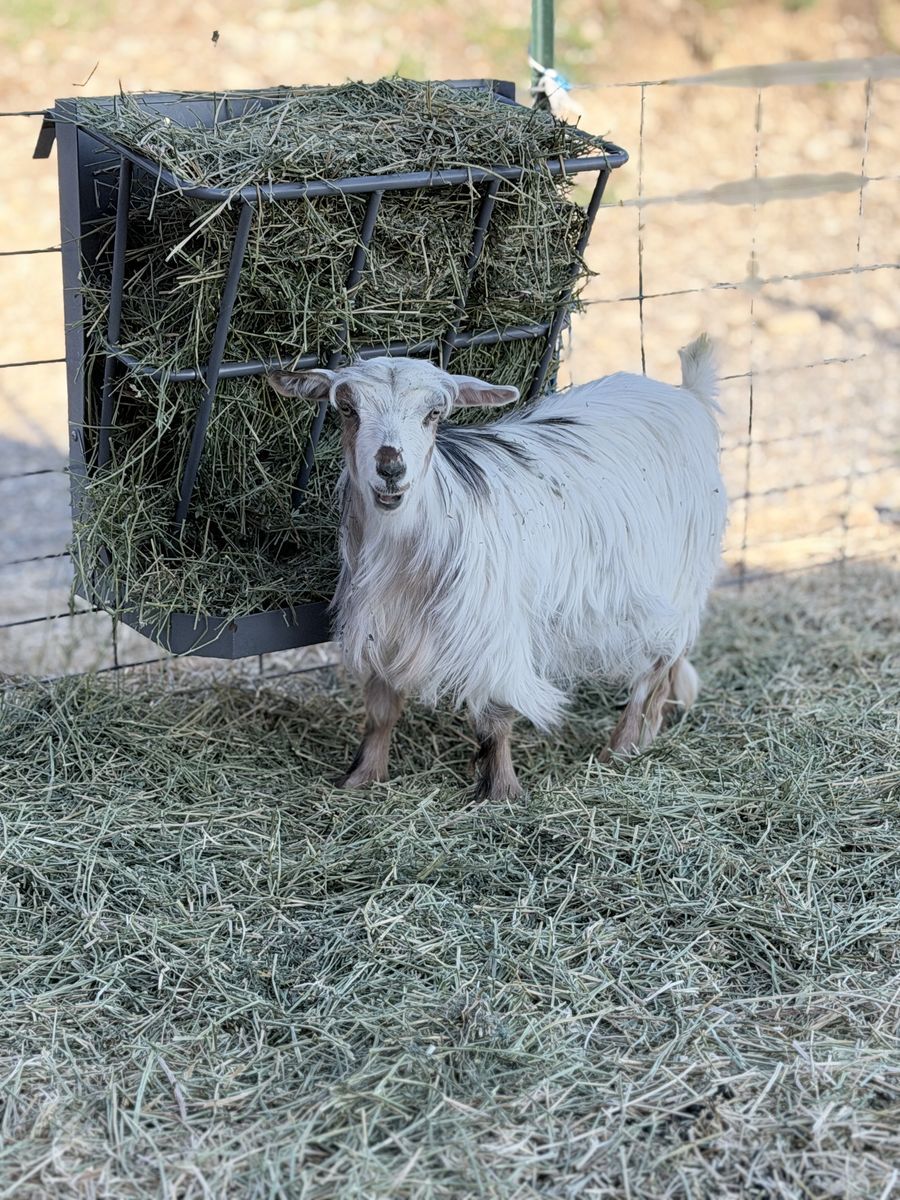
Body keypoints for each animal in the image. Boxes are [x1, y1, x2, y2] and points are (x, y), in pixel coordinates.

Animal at [268, 335, 726, 801]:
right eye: (347, 408)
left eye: (434, 414)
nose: (391, 469)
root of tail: (686, 394)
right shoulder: (383, 624)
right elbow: (381, 708)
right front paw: (362, 777)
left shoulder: (497, 631)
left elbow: (497, 714)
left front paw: (502, 790)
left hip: (682, 578)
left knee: (657, 666)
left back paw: (620, 749)